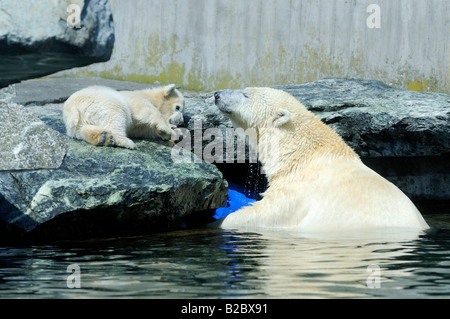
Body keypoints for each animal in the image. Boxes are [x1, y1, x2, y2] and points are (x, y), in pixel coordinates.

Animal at [214, 87, 428, 232]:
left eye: (245, 94)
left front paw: (220, 221)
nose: (217, 94)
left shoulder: (298, 191)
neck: (303, 154)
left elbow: (267, 212)